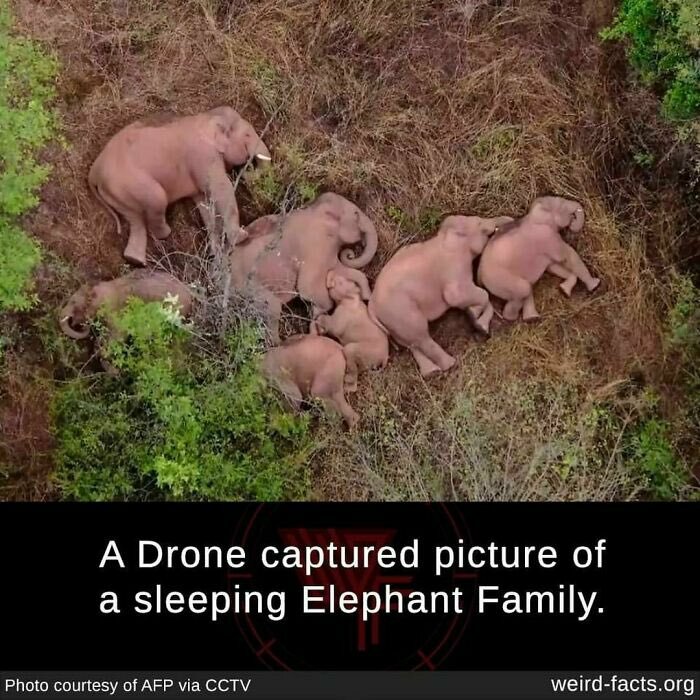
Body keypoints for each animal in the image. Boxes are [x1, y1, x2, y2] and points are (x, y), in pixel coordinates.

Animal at [89, 106, 272, 267]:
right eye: (247, 134)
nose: (246, 168)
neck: (206, 117)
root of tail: (94, 171)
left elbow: (204, 202)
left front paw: (217, 255)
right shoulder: (203, 156)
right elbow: (220, 188)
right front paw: (242, 237)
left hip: (118, 193)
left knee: (135, 220)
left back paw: (135, 261)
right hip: (131, 183)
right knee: (157, 200)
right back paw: (165, 234)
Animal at [229, 192, 378, 342]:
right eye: (356, 214)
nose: (351, 254)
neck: (313, 208)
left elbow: (340, 270)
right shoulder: (315, 244)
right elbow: (308, 288)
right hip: (250, 287)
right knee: (272, 309)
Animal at [368, 215, 511, 377]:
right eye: (479, 222)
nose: (509, 220)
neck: (444, 237)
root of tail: (372, 305)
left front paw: (478, 322)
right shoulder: (454, 267)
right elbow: (460, 295)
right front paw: (474, 316)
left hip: (392, 322)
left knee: (411, 343)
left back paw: (431, 372)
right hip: (401, 312)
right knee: (421, 336)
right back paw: (450, 364)